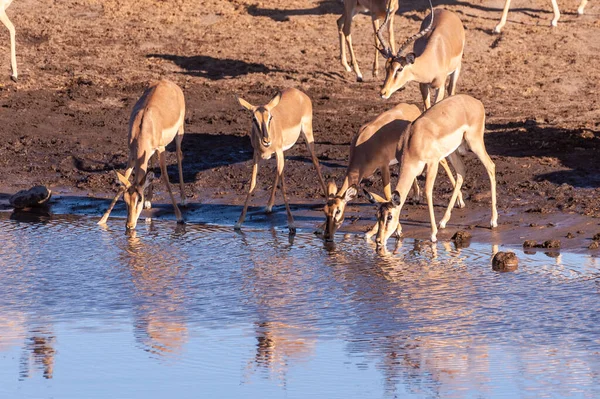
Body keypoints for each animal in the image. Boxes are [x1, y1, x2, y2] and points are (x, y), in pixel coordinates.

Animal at [97, 79, 186, 231]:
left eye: (139, 198)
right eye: (125, 199)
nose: (129, 225)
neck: (144, 127)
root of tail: (168, 82)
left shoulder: (161, 148)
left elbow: (165, 177)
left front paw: (179, 217)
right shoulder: (132, 155)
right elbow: (123, 181)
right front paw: (102, 220)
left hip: (179, 133)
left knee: (179, 155)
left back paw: (184, 199)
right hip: (149, 153)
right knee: (151, 166)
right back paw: (149, 201)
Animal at [236, 87, 328, 234]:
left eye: (270, 117)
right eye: (254, 118)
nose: (266, 140)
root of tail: (298, 92)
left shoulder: (278, 152)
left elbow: (283, 186)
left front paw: (292, 225)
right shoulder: (256, 155)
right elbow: (252, 183)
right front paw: (239, 223)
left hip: (307, 135)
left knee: (315, 161)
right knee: (280, 173)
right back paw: (268, 206)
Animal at [366, 95, 496, 248]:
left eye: (390, 216)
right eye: (377, 215)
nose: (379, 241)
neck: (412, 142)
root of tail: (476, 102)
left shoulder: (433, 163)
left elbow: (428, 192)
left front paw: (433, 234)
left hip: (474, 143)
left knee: (490, 166)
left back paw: (493, 221)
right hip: (453, 152)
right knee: (461, 172)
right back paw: (443, 221)